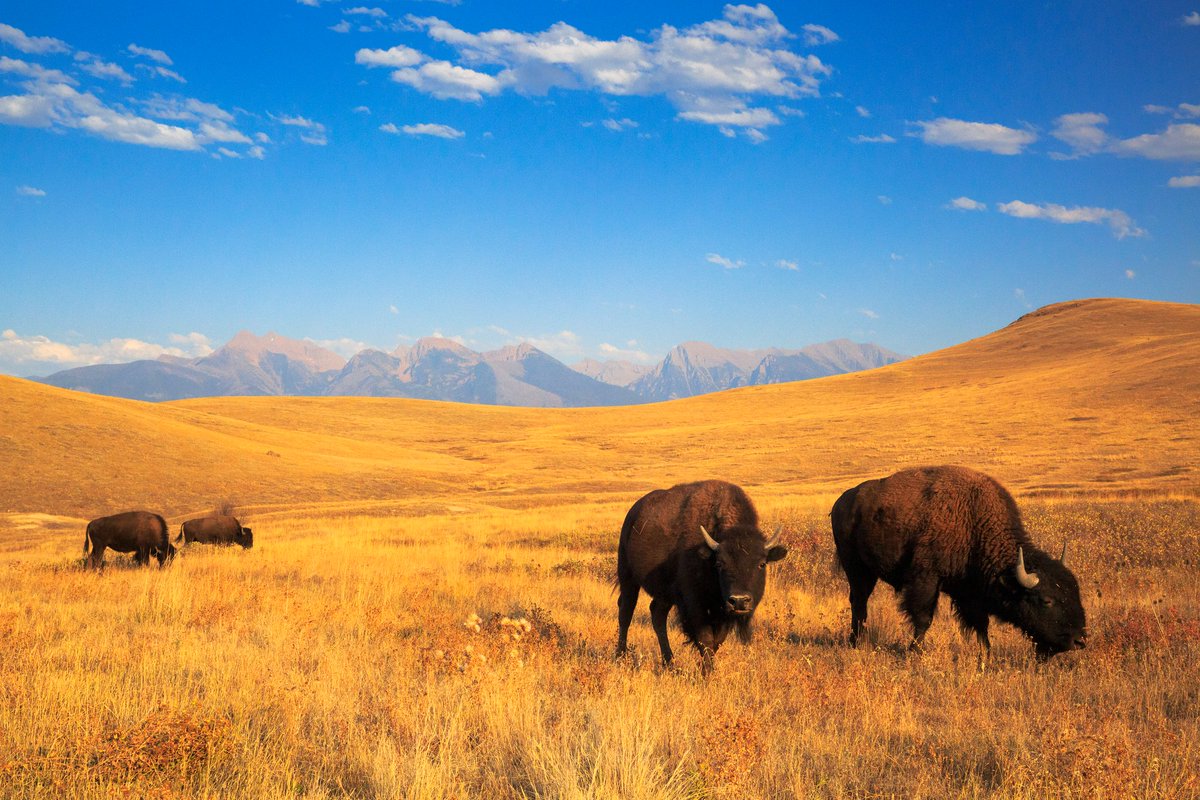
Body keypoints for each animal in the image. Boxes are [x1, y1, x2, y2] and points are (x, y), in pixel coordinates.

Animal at [616, 480, 788, 673]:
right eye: (720, 563)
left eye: (762, 564)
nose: (739, 601)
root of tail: (633, 513)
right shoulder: (695, 605)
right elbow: (705, 639)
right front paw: (707, 673)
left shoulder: (722, 611)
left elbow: (717, 641)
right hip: (627, 577)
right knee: (626, 612)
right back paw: (620, 657)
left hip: (664, 593)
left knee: (657, 614)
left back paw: (670, 663)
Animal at [831, 465, 1087, 658]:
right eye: (1046, 601)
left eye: (1075, 592)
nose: (1079, 640)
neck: (974, 522)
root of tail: (842, 501)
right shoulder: (926, 579)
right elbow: (923, 617)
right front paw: (915, 653)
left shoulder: (971, 591)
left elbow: (981, 624)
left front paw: (986, 655)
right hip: (856, 568)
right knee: (859, 602)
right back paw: (856, 642)